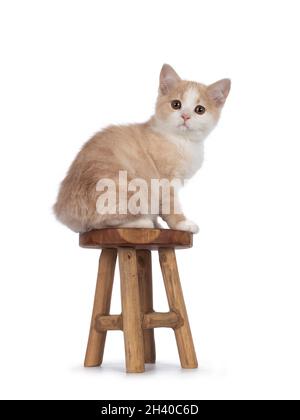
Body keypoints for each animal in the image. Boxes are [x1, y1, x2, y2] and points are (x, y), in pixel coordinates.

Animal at [54, 65, 231, 233]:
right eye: (176, 105)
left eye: (200, 110)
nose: (185, 116)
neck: (182, 141)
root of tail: (63, 211)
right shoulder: (165, 180)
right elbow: (170, 204)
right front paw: (182, 223)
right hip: (121, 187)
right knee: (98, 222)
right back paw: (142, 222)